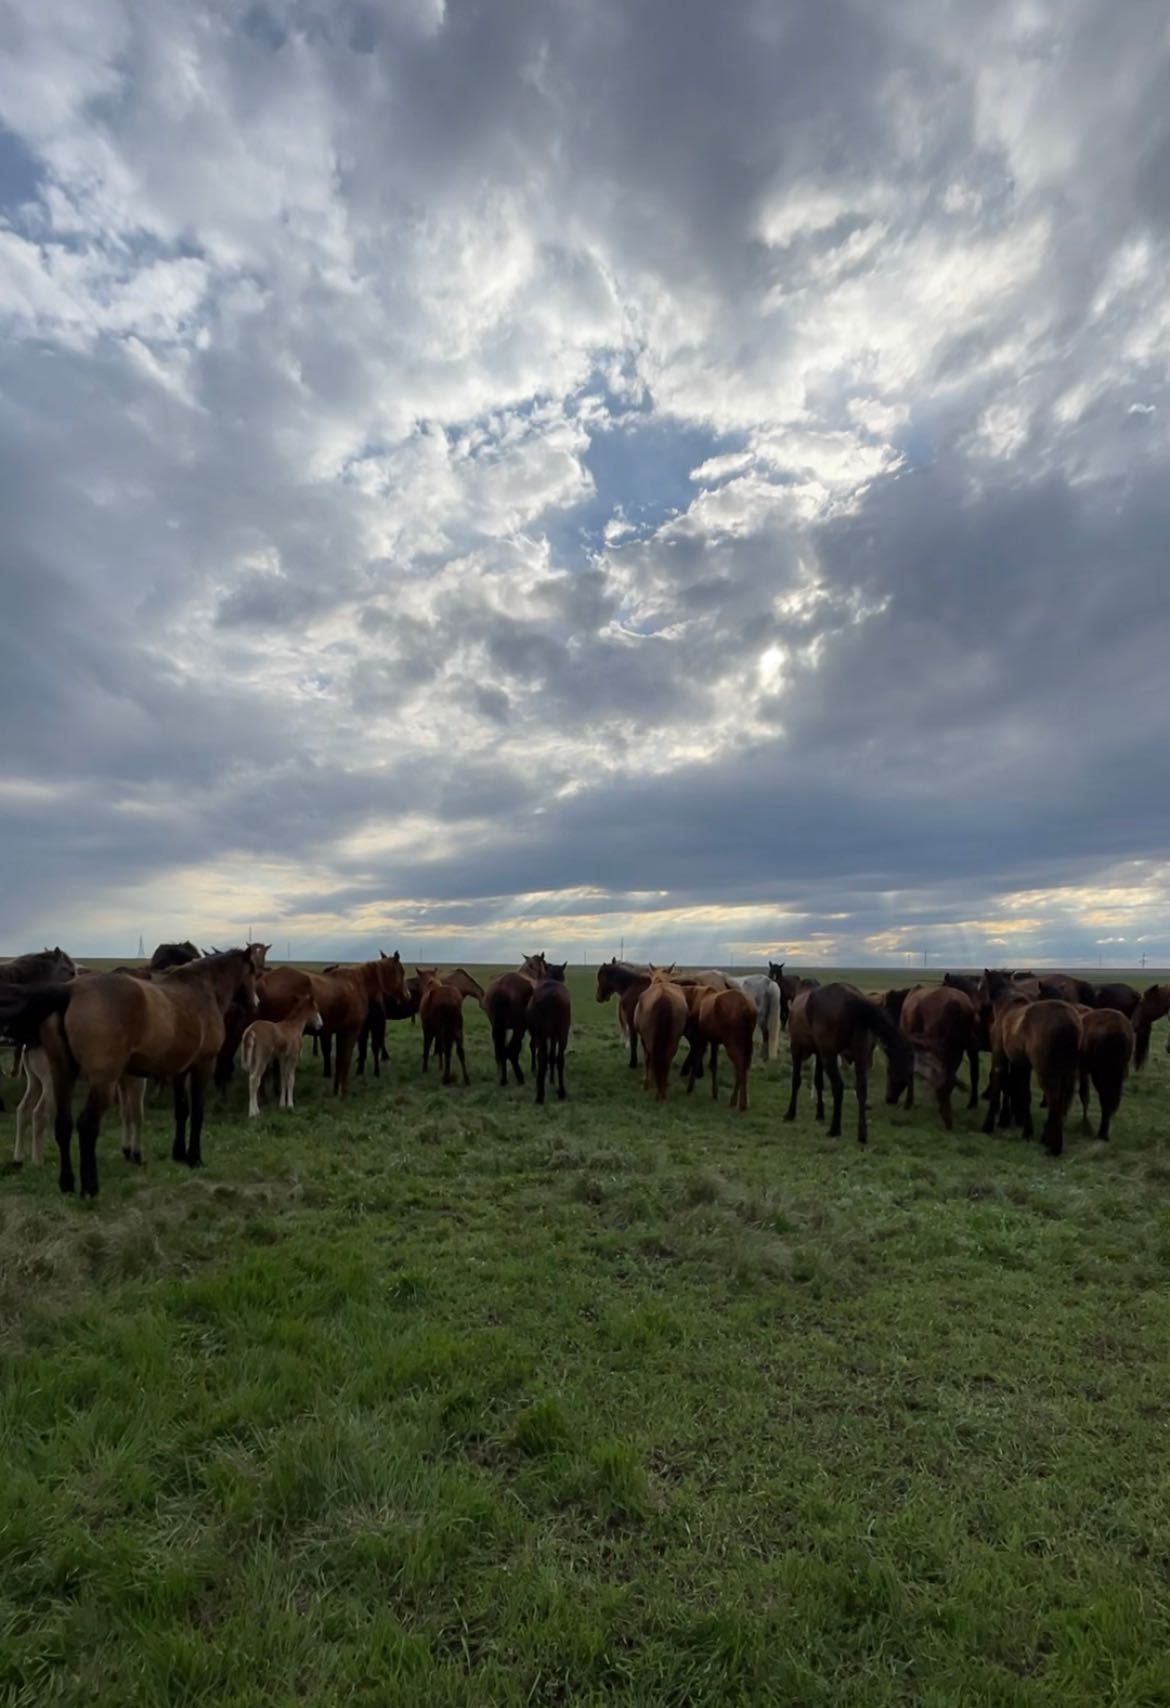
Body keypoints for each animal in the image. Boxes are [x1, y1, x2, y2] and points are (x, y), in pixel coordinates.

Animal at [0, 949, 263, 1202]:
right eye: (253, 972)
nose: (256, 1002)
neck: (201, 990)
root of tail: (70, 990)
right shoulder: (203, 1066)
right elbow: (197, 1113)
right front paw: (194, 1158)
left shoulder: (178, 1071)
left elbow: (181, 1111)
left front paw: (178, 1154)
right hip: (102, 1081)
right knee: (86, 1126)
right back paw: (90, 1188)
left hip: (62, 1074)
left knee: (62, 1124)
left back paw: (66, 1184)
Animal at [635, 970, 690, 1099]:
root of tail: (664, 995)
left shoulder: (644, 1039)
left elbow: (648, 1059)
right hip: (674, 1040)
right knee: (667, 1058)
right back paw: (662, 1089)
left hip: (649, 1040)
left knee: (651, 1058)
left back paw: (649, 1085)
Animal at [683, 983, 758, 1113]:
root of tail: (748, 1008)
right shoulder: (714, 1041)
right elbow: (714, 1065)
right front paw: (714, 1093)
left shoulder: (700, 1038)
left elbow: (697, 1060)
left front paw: (690, 1088)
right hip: (746, 1043)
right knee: (744, 1067)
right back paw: (741, 1102)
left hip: (732, 1043)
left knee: (740, 1067)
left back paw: (738, 1103)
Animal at [785, 990, 915, 1147]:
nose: (891, 1099)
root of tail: (851, 998)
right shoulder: (818, 1052)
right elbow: (818, 1082)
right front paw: (819, 1113)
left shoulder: (797, 1047)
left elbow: (796, 1080)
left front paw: (791, 1113)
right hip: (858, 1052)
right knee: (861, 1088)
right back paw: (862, 1134)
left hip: (830, 1054)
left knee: (838, 1086)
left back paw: (834, 1129)